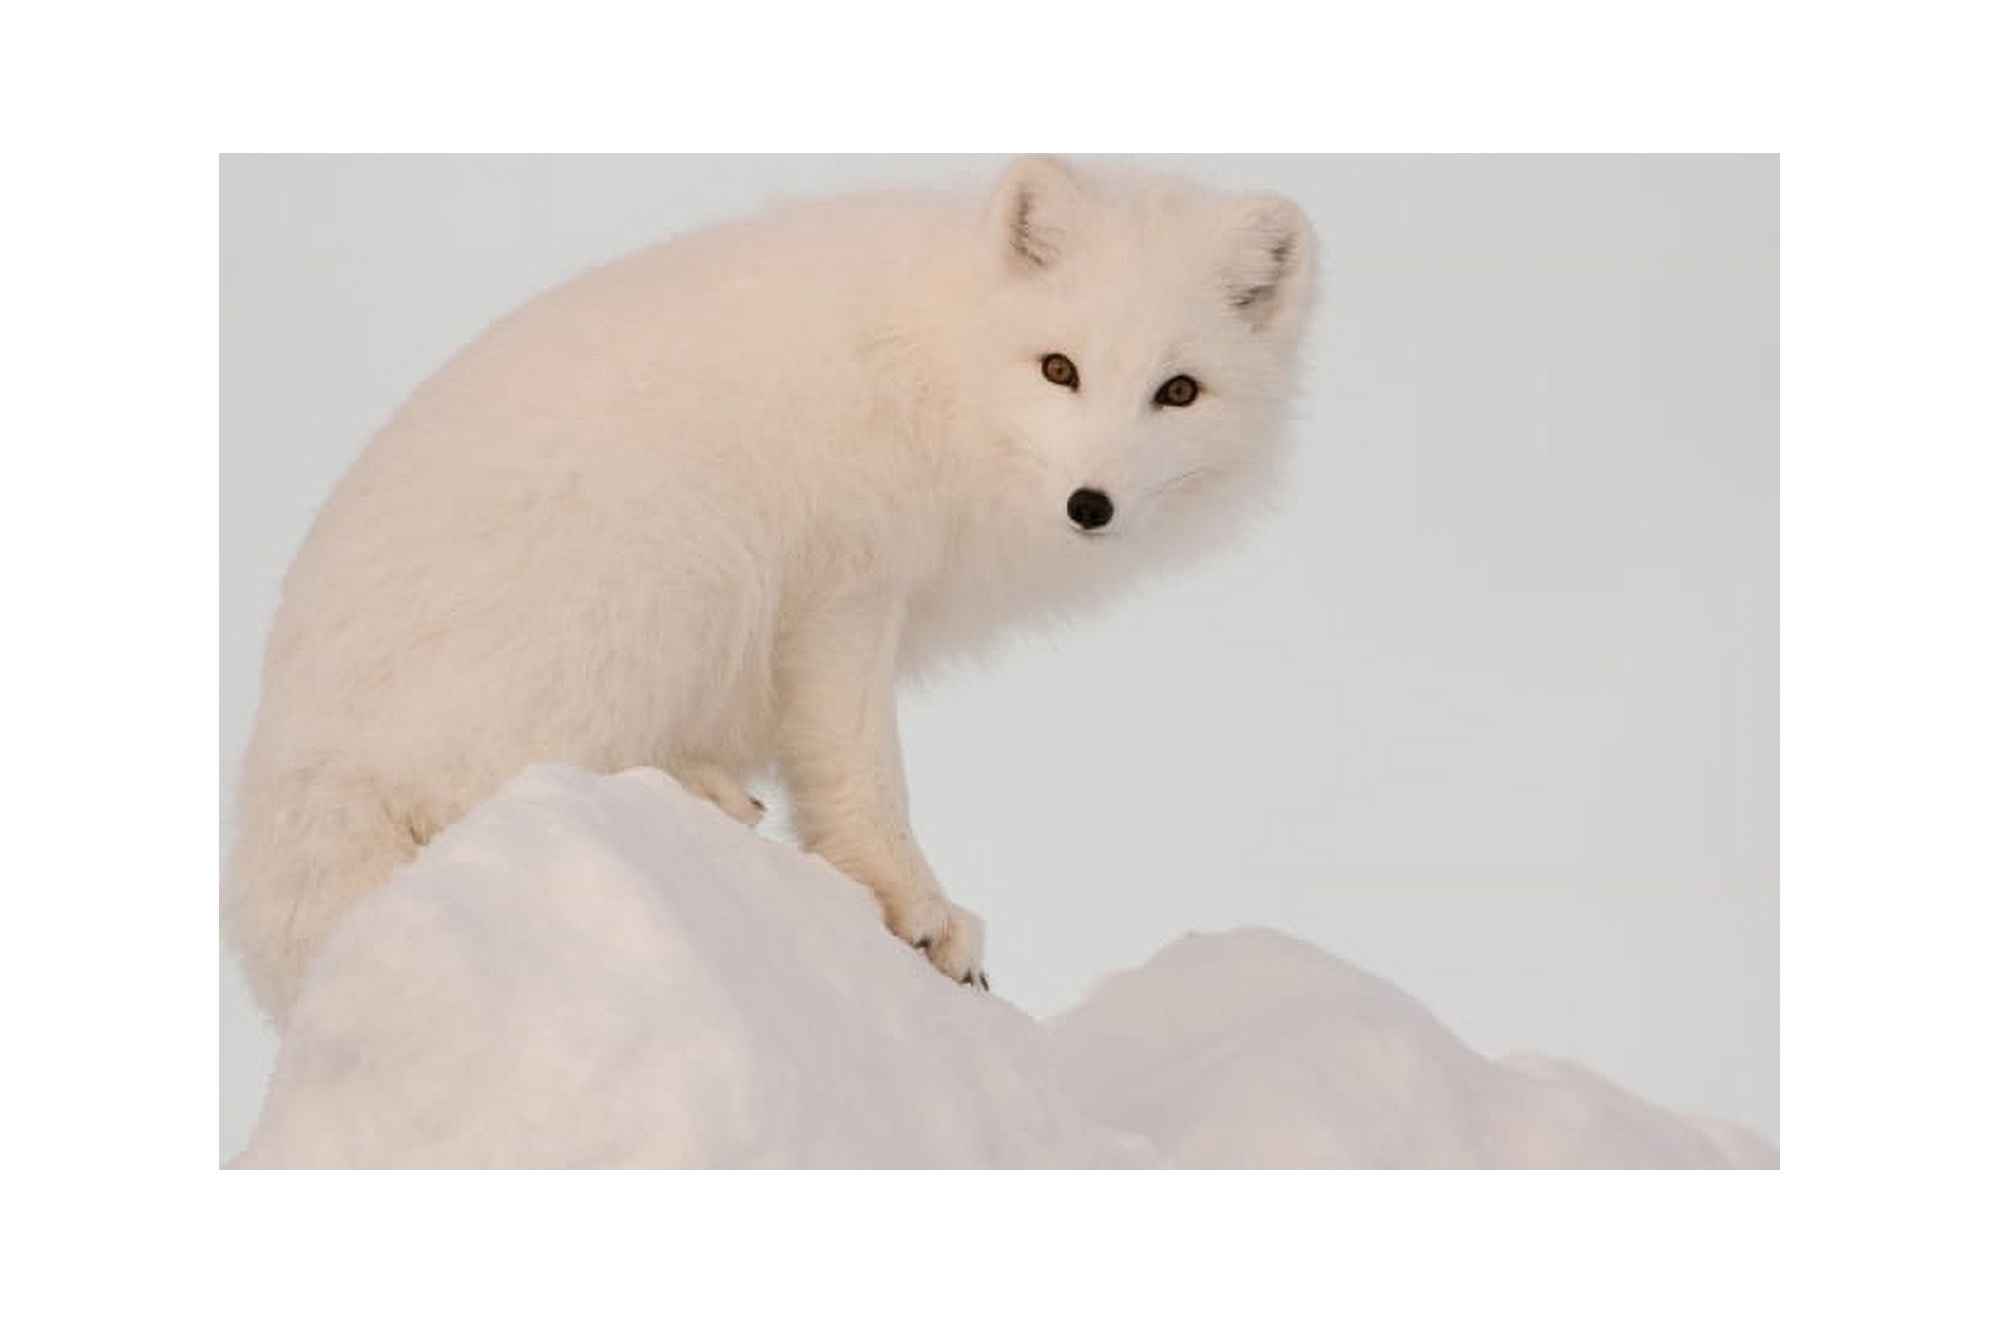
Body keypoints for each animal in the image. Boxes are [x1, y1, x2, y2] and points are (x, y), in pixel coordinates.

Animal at [226, 155, 1319, 1020]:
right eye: (1059, 368)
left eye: (1178, 391)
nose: (1090, 504)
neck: (940, 359)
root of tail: (292, 751)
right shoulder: (844, 586)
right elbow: (862, 773)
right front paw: (918, 913)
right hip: (668, 565)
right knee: (504, 774)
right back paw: (694, 786)